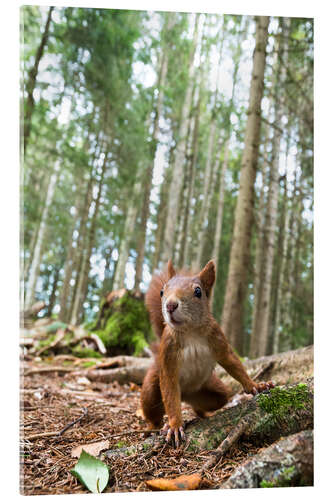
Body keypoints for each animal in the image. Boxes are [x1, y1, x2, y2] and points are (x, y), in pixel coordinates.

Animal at [140, 260, 272, 448]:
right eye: (161, 292)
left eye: (198, 292)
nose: (170, 305)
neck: (190, 332)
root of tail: (185, 395)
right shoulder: (167, 354)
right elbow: (169, 389)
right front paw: (174, 425)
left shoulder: (217, 338)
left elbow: (232, 363)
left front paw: (255, 385)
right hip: (152, 387)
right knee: (157, 409)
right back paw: (156, 426)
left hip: (212, 391)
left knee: (207, 405)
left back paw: (204, 415)